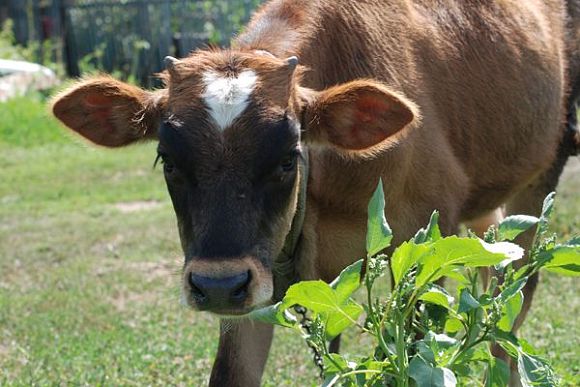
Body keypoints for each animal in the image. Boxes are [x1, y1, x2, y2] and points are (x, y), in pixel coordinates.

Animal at [52, 0, 576, 386]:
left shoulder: (427, 235)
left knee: (507, 313)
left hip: (541, 177)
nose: (216, 285)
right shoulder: (260, 278)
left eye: (288, 157)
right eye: (168, 160)